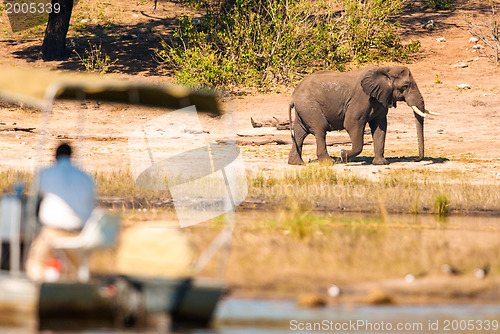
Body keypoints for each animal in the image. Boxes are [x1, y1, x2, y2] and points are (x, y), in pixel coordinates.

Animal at [290, 66, 438, 165]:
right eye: (405, 86)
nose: (415, 159)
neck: (386, 69)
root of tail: (293, 94)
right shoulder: (360, 99)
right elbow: (352, 124)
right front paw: (342, 155)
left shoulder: (380, 100)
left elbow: (380, 127)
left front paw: (381, 163)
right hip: (310, 106)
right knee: (320, 130)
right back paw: (330, 162)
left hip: (304, 108)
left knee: (300, 133)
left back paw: (297, 163)